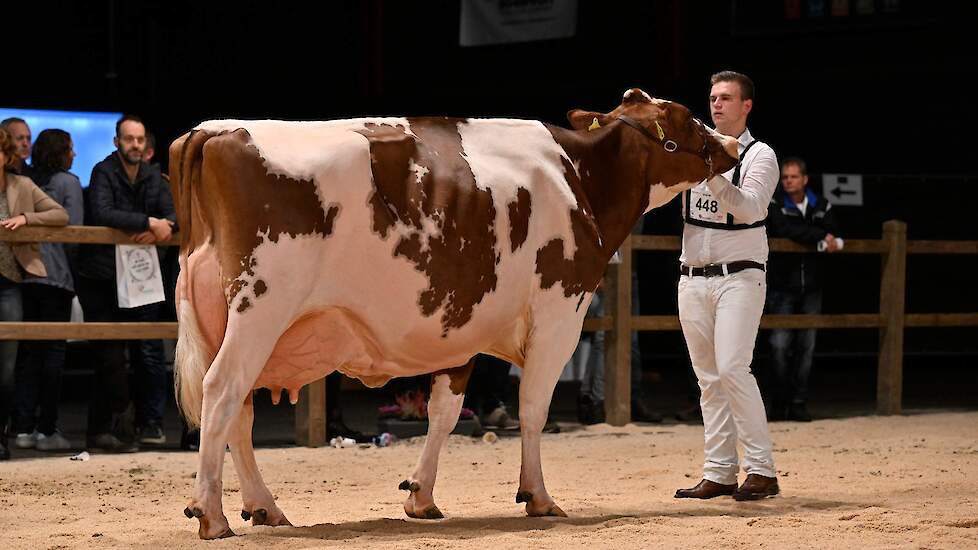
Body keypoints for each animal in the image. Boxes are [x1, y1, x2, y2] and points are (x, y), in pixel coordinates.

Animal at [170, 89, 732, 540]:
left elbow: (443, 411)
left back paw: (263, 507)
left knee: (238, 411)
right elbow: (533, 408)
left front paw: (420, 495)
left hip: (222, 319)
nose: (730, 144)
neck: (578, 177)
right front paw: (538, 496)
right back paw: (211, 515)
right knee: (221, 392)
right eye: (685, 118)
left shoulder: (461, 329)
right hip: (260, 308)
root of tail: (215, 130)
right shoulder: (559, 311)